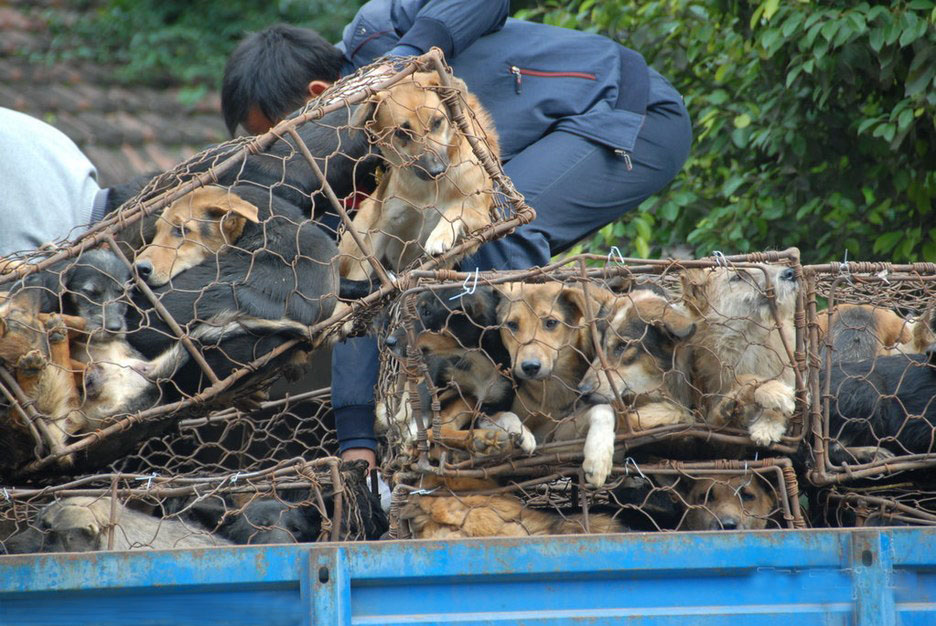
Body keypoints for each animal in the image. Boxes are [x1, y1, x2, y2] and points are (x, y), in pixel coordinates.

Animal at [334, 69, 498, 280]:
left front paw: (439, 236)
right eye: (401, 133)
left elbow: (456, 210)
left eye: (437, 122)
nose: (436, 171)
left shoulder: (482, 218)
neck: (429, 190)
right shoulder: (384, 225)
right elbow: (363, 268)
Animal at [376, 284, 532, 454]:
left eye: (427, 312)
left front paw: (522, 432)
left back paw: (484, 439)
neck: (474, 356)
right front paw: (412, 441)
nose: (388, 342)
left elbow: (508, 414)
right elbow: (421, 420)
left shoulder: (491, 405)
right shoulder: (428, 384)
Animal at [676, 264, 800, 444]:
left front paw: (768, 423)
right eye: (738, 277)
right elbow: (742, 378)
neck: (749, 336)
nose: (791, 273)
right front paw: (773, 390)